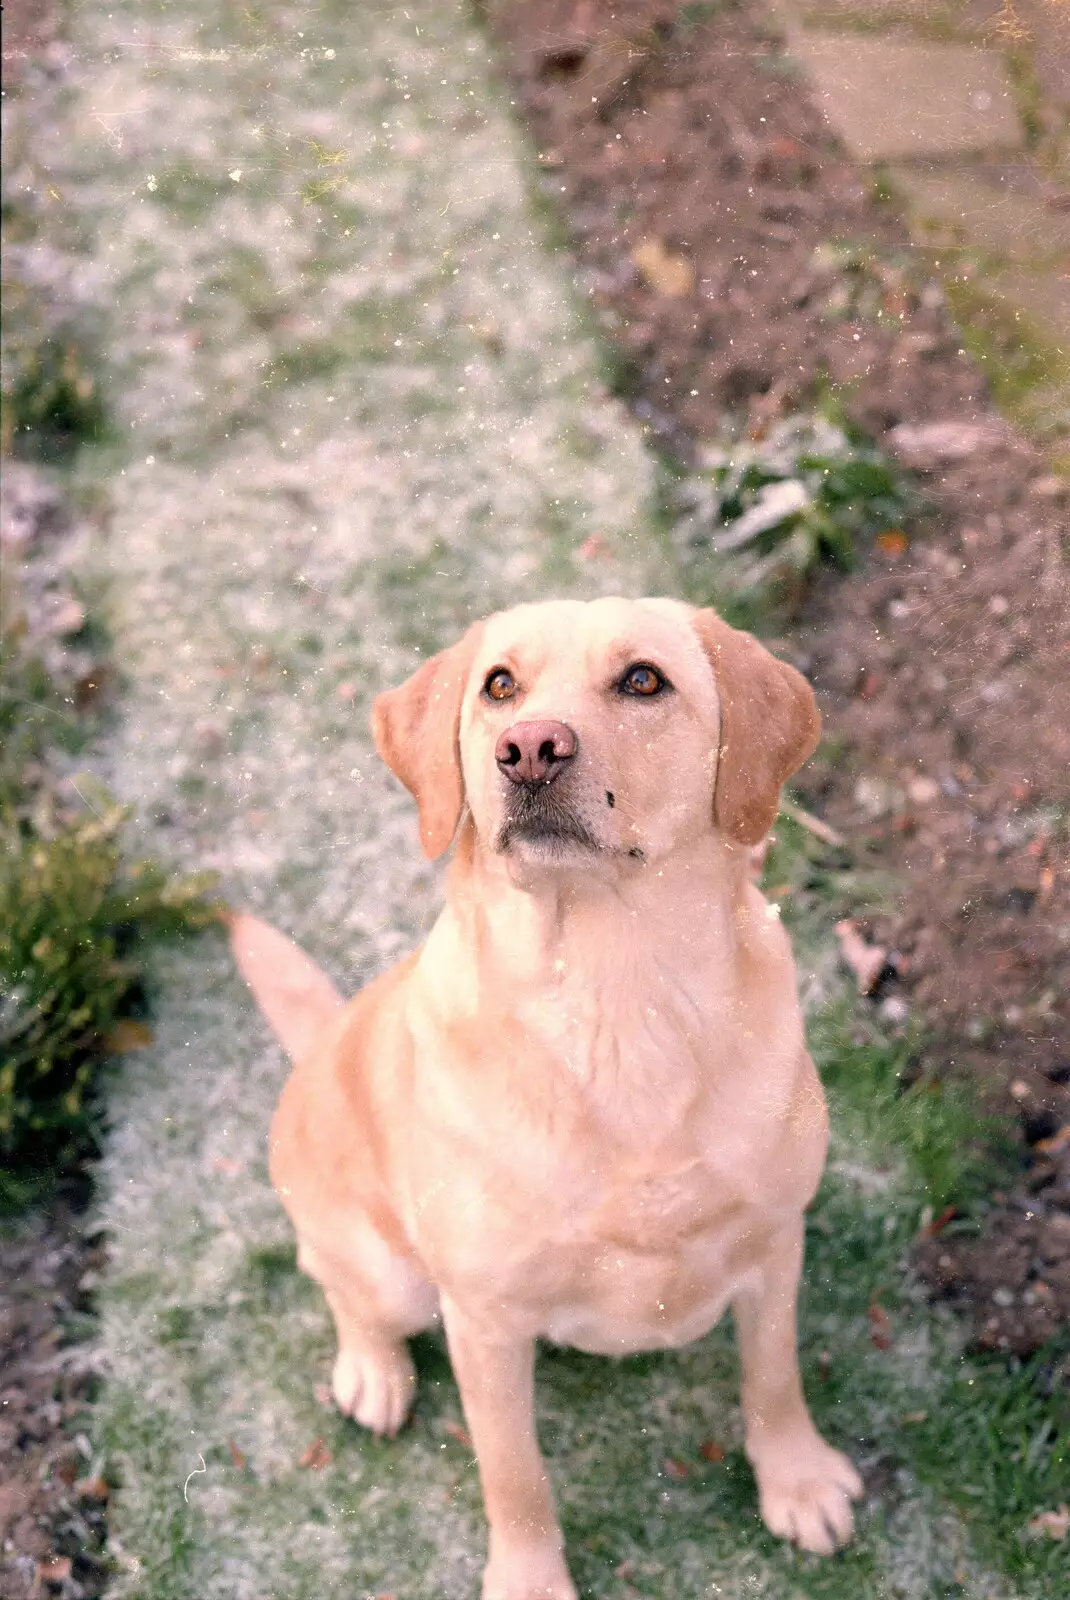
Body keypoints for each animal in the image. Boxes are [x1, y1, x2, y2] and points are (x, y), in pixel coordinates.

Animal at [231, 595, 857, 1593]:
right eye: (500, 686)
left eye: (643, 679)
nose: (528, 749)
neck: (617, 1000)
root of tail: (323, 1042)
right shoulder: (485, 1322)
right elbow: (514, 1476)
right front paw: (529, 1578)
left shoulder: (775, 1242)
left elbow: (774, 1378)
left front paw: (796, 1480)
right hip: (393, 1278)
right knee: (334, 1285)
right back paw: (373, 1372)